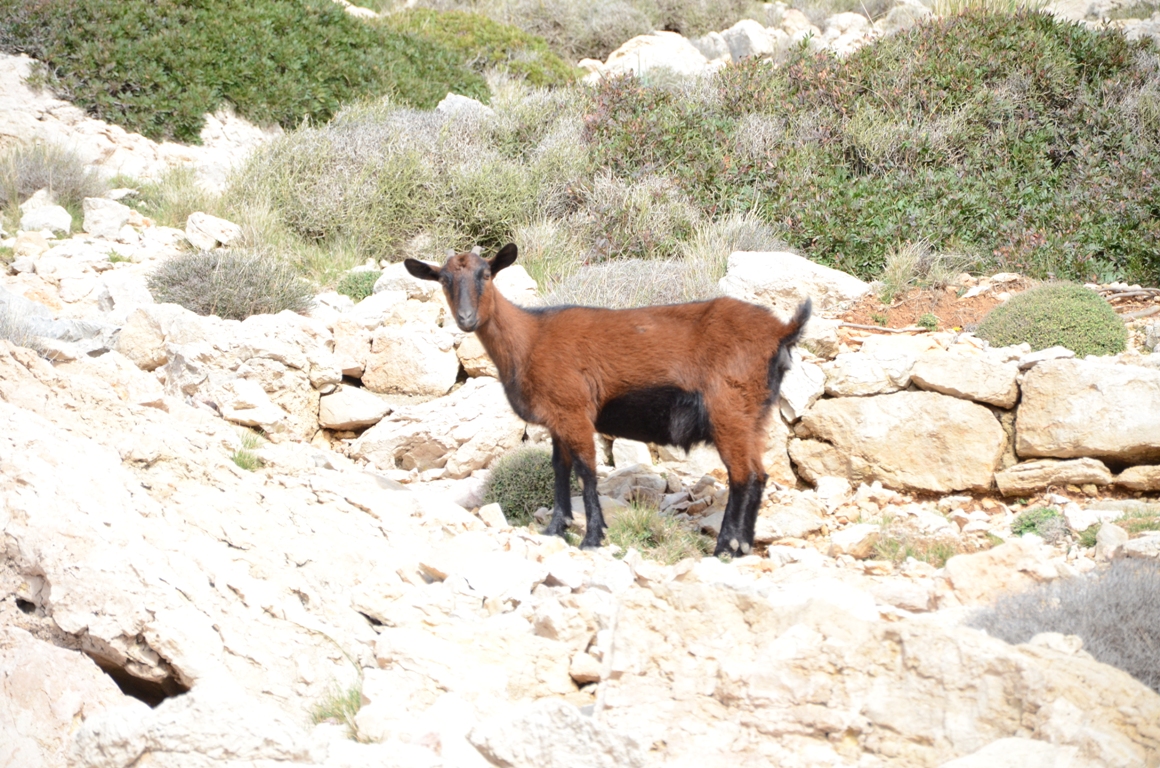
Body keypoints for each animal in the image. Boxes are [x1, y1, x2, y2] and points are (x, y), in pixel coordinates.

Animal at [405, 244, 811, 557]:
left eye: (486, 274)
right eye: (443, 280)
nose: (466, 319)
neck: (531, 338)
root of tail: (782, 330)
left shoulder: (574, 412)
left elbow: (586, 471)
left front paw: (592, 537)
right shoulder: (558, 419)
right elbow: (560, 469)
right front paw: (556, 528)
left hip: (729, 410)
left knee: (743, 474)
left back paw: (726, 546)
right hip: (754, 415)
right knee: (759, 474)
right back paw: (743, 545)